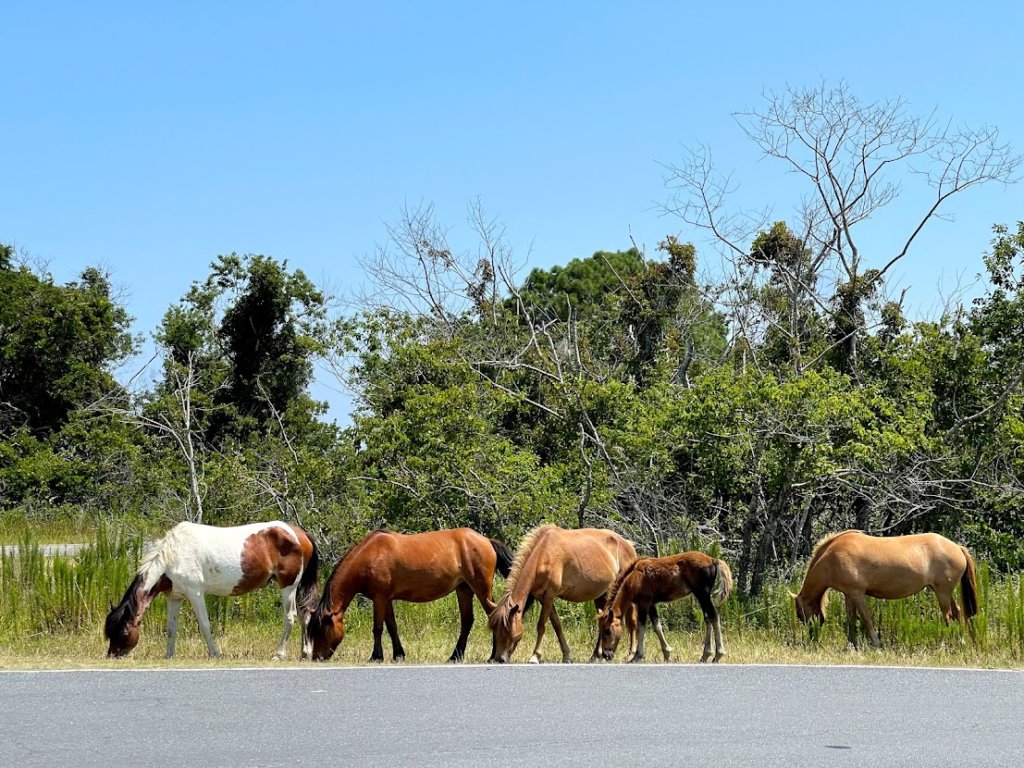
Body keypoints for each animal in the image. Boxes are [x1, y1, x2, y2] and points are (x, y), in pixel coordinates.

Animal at [103, 524, 317, 663]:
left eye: (123, 631)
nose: (112, 655)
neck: (172, 556)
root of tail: (300, 533)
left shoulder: (195, 594)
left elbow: (205, 625)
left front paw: (215, 653)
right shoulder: (175, 597)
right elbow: (171, 628)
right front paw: (169, 655)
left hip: (288, 586)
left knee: (290, 617)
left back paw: (279, 654)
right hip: (297, 588)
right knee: (304, 615)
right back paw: (305, 653)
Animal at [303, 528, 512, 663]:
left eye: (321, 630)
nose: (317, 658)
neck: (369, 556)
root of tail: (486, 540)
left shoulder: (379, 598)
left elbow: (378, 628)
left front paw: (376, 656)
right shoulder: (385, 599)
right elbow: (392, 627)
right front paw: (398, 655)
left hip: (480, 588)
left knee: (494, 615)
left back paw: (493, 657)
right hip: (464, 590)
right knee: (467, 621)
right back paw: (455, 656)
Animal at [485, 528, 634, 663]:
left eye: (507, 630)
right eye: (495, 630)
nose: (500, 659)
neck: (543, 554)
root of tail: (628, 545)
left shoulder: (550, 595)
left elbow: (542, 625)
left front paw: (535, 656)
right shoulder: (542, 597)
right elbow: (556, 625)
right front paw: (566, 655)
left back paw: (630, 654)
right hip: (601, 594)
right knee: (602, 621)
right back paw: (595, 656)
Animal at [598, 548, 733, 663]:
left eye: (607, 631)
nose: (606, 655)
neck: (634, 577)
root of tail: (712, 560)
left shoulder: (644, 603)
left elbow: (641, 626)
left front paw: (637, 656)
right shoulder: (651, 604)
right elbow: (657, 626)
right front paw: (667, 653)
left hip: (702, 594)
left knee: (713, 616)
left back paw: (718, 655)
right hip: (701, 596)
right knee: (707, 618)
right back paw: (705, 655)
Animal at [786, 528, 978, 651]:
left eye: (800, 614)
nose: (813, 638)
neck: (832, 555)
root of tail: (957, 547)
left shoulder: (857, 593)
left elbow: (866, 619)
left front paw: (877, 644)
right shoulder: (848, 594)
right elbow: (851, 620)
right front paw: (851, 645)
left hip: (942, 592)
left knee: (948, 617)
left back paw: (944, 645)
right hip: (945, 592)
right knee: (957, 613)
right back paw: (960, 642)